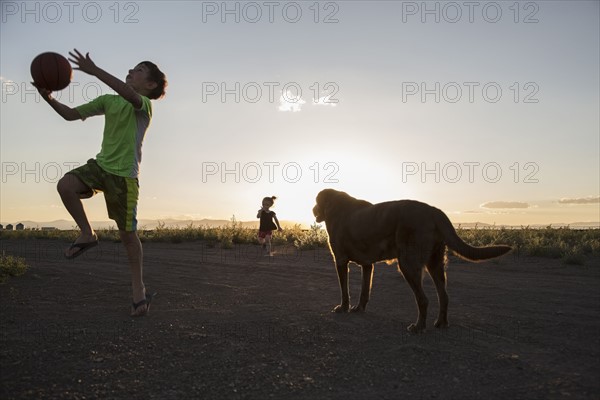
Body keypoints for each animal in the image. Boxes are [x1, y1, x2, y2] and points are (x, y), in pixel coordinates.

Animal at [312, 189, 512, 332]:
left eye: (316, 202)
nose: (313, 209)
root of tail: (433, 211)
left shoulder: (340, 260)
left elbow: (344, 290)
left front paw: (343, 308)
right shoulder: (367, 265)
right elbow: (364, 291)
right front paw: (358, 308)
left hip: (408, 264)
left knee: (423, 299)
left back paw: (418, 327)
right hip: (435, 263)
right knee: (444, 295)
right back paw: (441, 323)